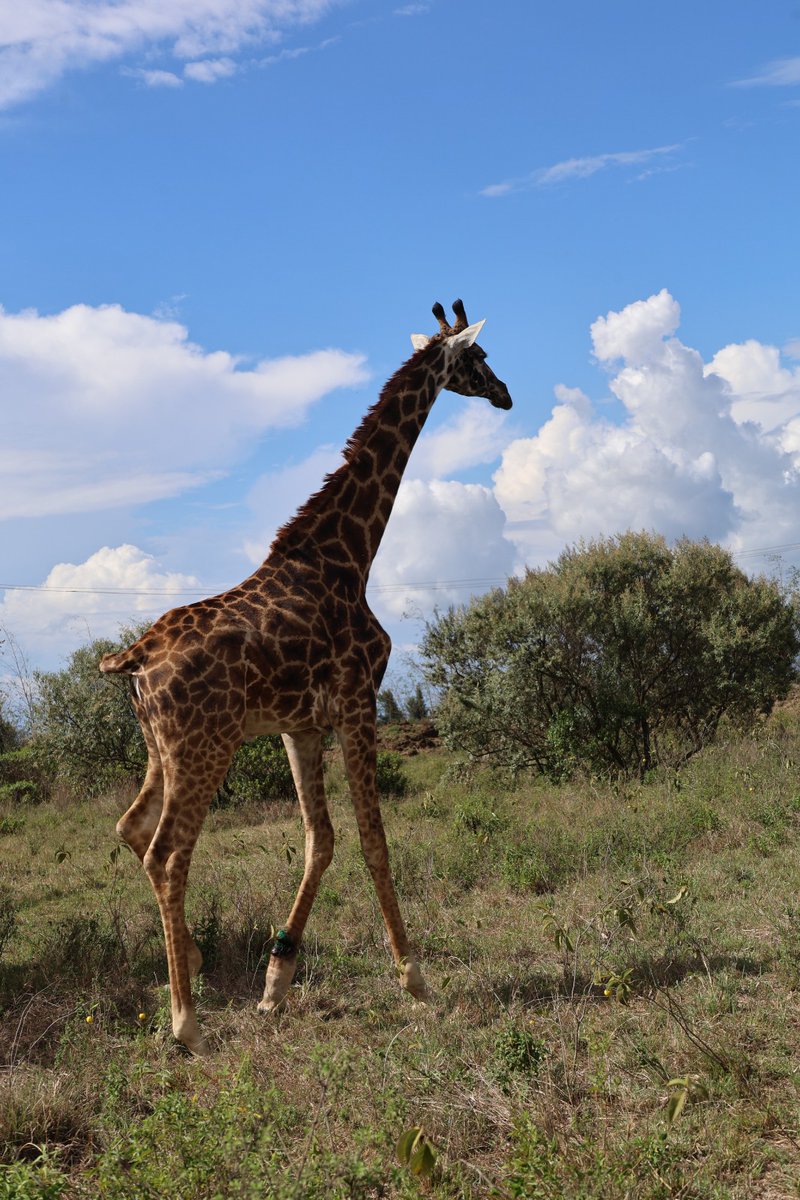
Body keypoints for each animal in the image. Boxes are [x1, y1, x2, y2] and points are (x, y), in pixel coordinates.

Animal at [100, 300, 513, 1054]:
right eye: (479, 356)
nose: (506, 395)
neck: (350, 554)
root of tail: (134, 658)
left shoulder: (300, 725)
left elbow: (321, 841)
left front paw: (276, 982)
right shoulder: (358, 701)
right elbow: (374, 841)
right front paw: (416, 980)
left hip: (160, 750)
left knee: (131, 830)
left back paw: (195, 961)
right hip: (204, 749)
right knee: (168, 853)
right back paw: (185, 1021)